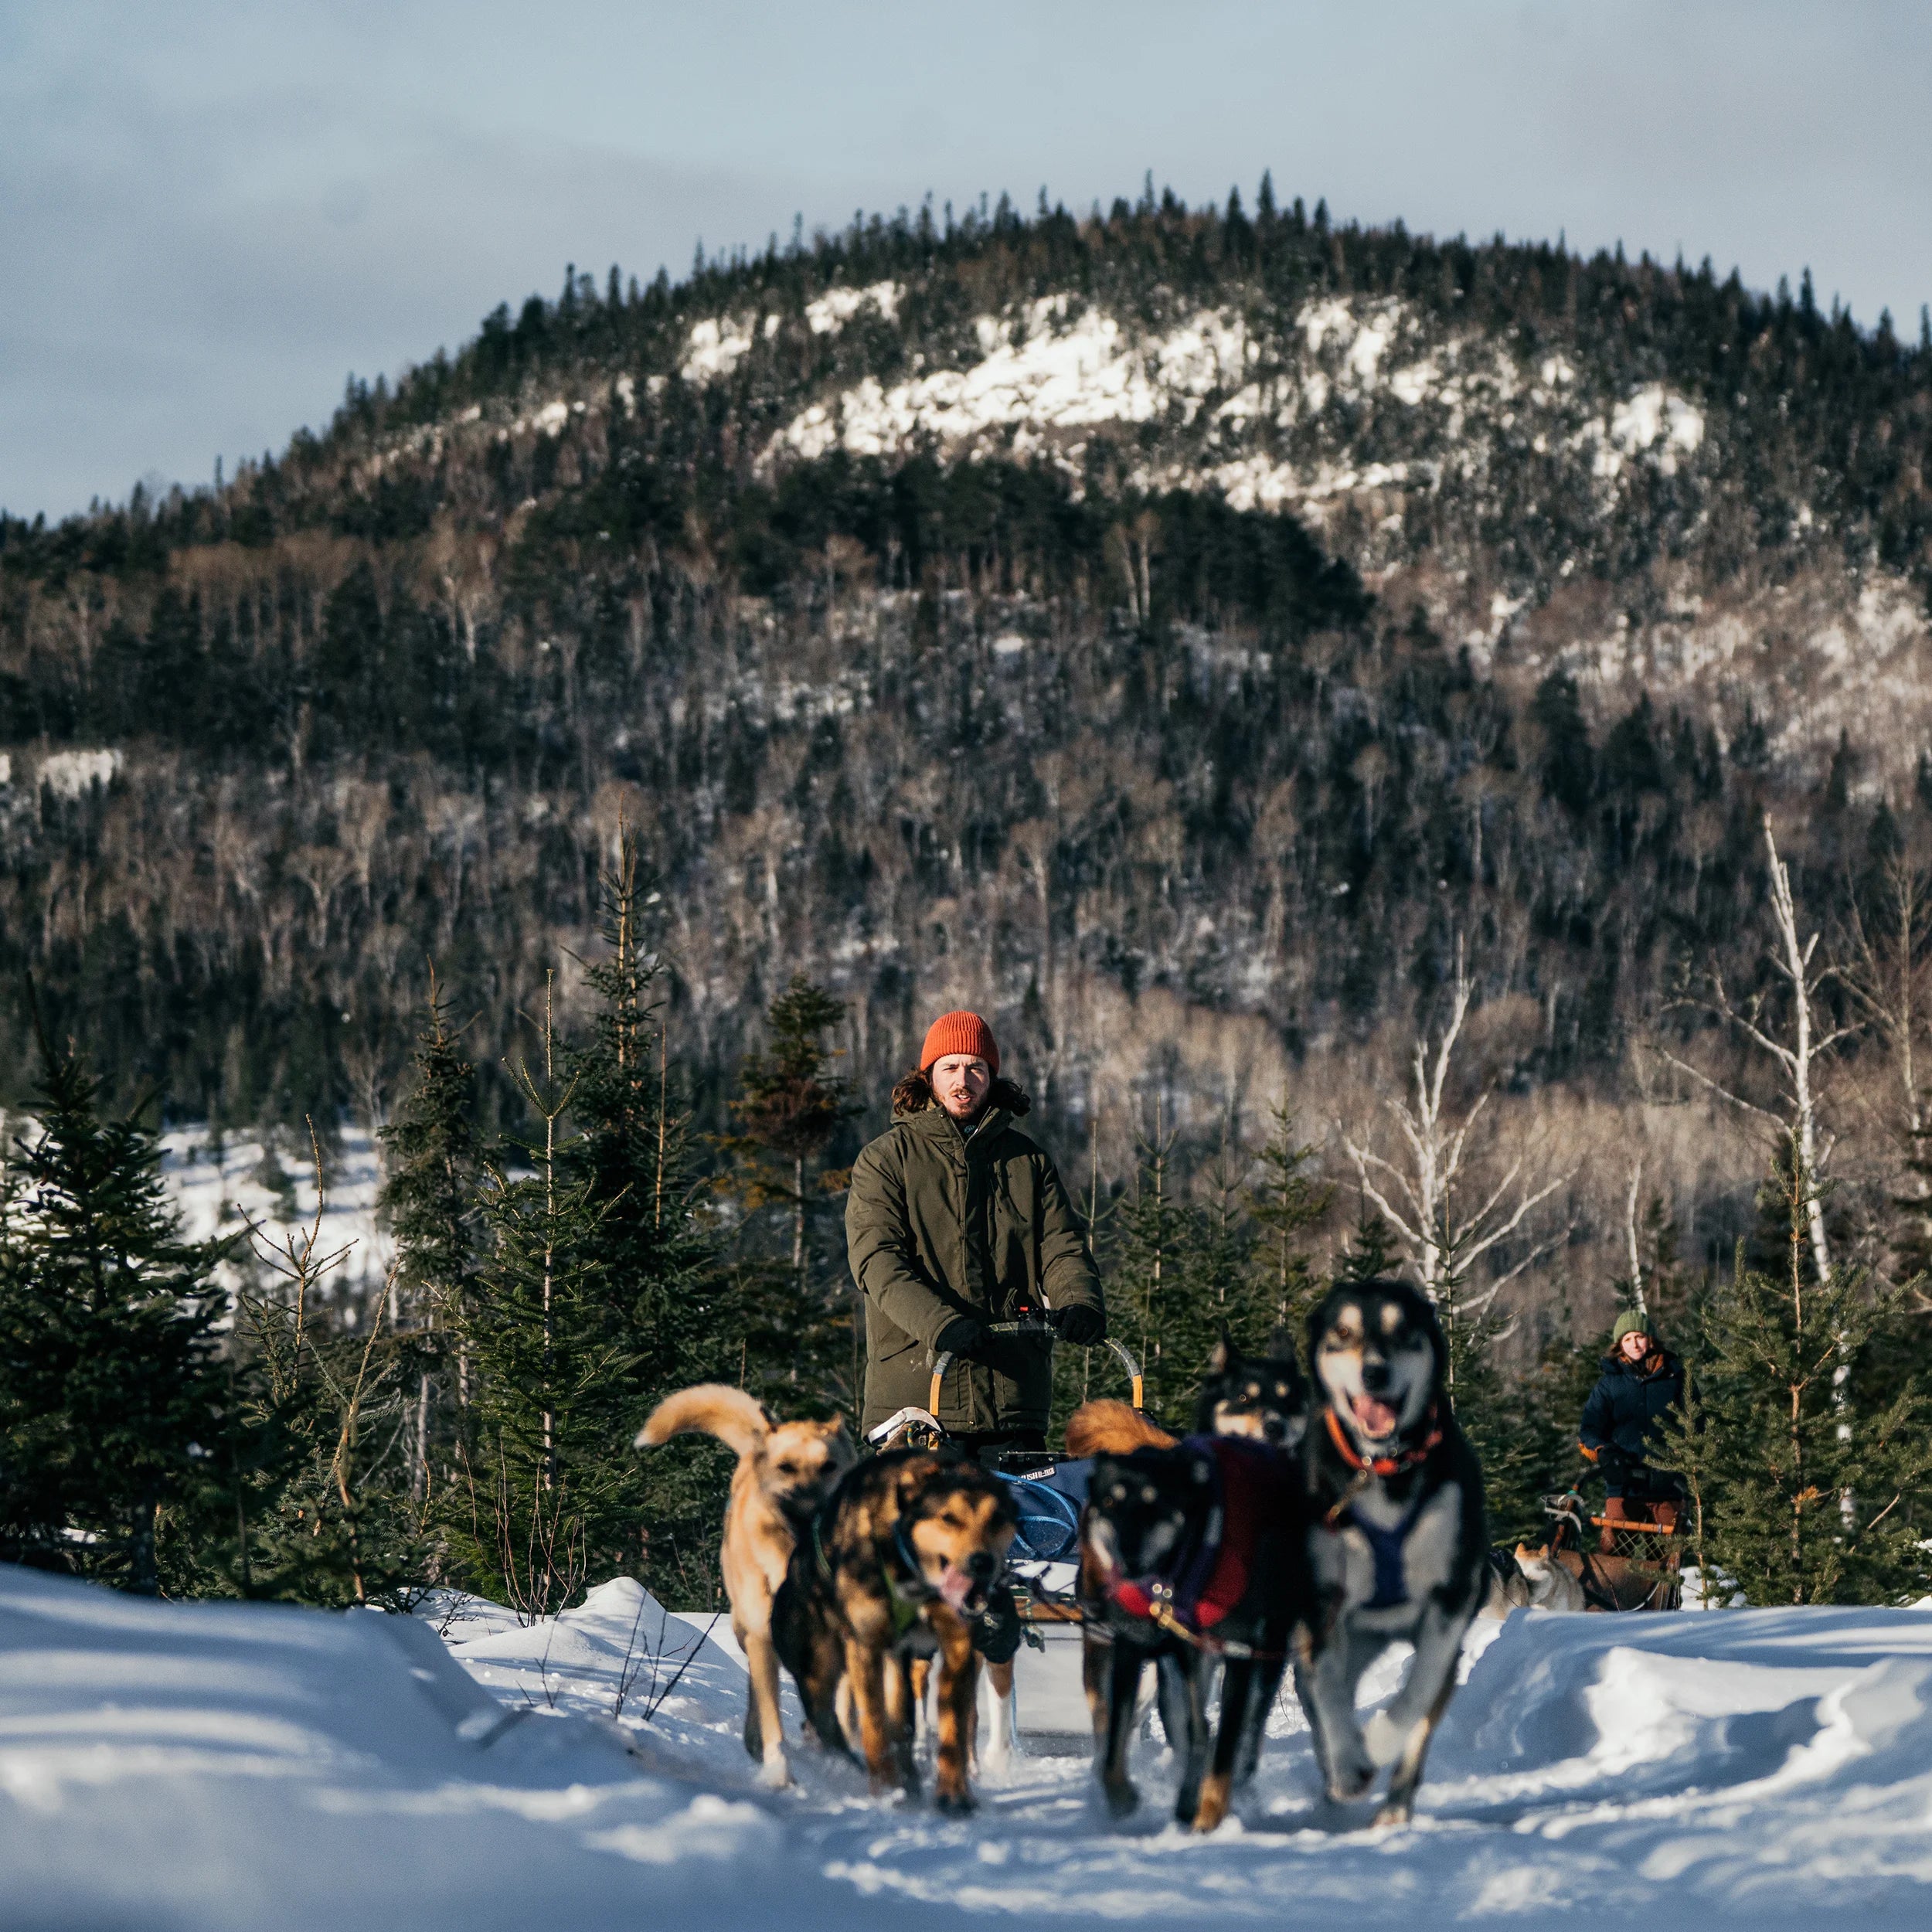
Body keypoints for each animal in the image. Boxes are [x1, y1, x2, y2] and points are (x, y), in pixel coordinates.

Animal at [638, 1391, 850, 1777]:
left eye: (829, 1466)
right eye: (786, 1468)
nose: (812, 1511)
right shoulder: (764, 1639)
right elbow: (773, 1721)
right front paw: (780, 1773)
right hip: (748, 1632)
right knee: (757, 1692)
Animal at [773, 1453, 1020, 1808]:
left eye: (997, 1519)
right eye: (948, 1518)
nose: (982, 1562)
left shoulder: (957, 1645)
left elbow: (953, 1723)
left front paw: (954, 1793)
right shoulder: (867, 1646)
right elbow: (875, 1726)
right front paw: (886, 1790)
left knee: (902, 1724)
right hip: (819, 1672)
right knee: (827, 1724)